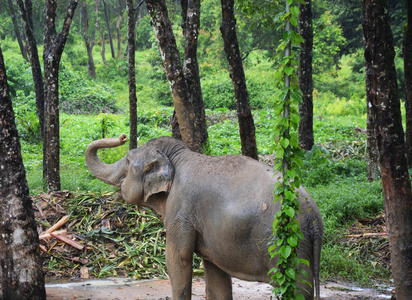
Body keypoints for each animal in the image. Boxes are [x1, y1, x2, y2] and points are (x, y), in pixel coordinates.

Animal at [85, 136, 324, 300]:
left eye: (126, 161)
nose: (123, 136)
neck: (178, 156)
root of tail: (314, 218)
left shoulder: (180, 209)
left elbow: (177, 258)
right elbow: (215, 272)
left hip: (287, 243)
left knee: (298, 287)